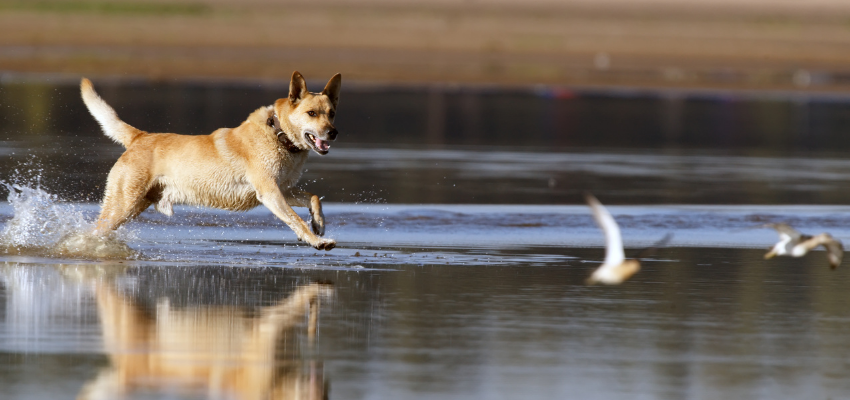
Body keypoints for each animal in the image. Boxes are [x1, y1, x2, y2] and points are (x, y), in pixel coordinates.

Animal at [79, 70, 338, 248]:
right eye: (312, 113)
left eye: (332, 113)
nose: (333, 133)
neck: (278, 134)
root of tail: (139, 136)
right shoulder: (269, 192)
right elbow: (295, 219)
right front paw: (316, 241)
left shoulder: (282, 189)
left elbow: (313, 197)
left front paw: (319, 224)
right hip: (122, 205)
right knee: (93, 231)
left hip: (135, 205)